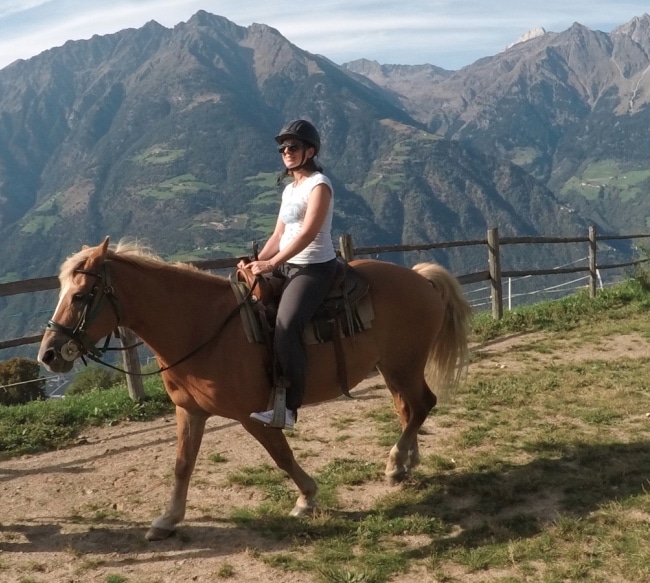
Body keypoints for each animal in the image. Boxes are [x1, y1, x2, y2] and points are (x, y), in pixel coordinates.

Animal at [38, 237, 468, 544]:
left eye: (80, 295)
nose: (49, 354)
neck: (202, 326)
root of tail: (420, 278)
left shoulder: (252, 416)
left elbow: (281, 455)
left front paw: (307, 497)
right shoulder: (189, 411)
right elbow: (182, 464)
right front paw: (167, 520)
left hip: (403, 365)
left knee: (422, 405)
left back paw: (395, 463)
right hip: (393, 369)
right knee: (408, 408)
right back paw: (406, 463)